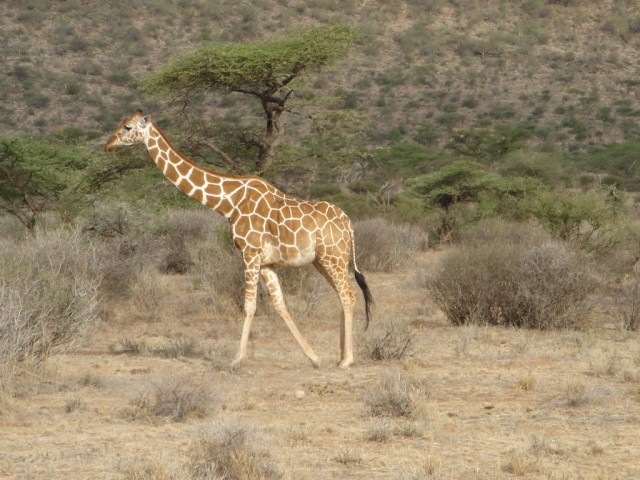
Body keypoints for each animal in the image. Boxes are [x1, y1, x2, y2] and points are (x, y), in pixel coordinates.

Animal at [104, 110, 373, 368]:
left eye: (127, 127)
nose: (108, 144)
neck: (229, 203)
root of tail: (348, 224)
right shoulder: (266, 262)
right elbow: (280, 305)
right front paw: (314, 358)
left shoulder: (250, 253)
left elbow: (249, 306)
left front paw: (236, 360)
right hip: (323, 261)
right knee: (343, 295)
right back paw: (340, 356)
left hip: (333, 257)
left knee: (348, 294)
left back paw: (347, 360)